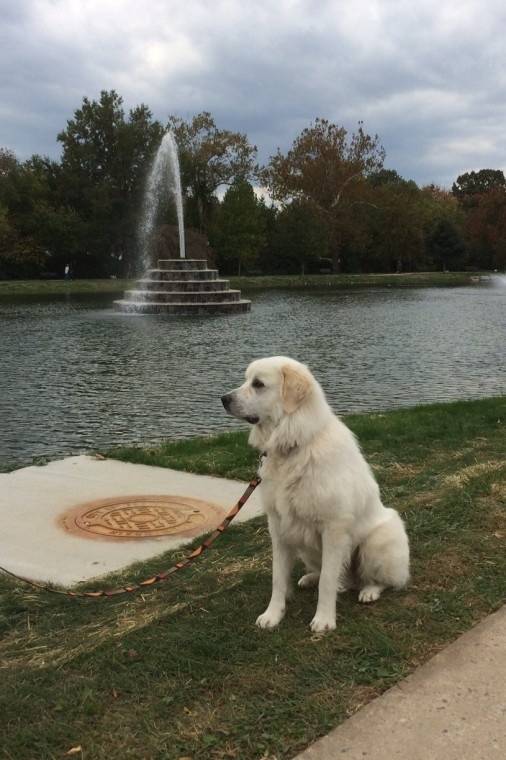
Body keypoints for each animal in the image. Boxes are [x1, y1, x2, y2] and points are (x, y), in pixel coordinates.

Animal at [219, 360, 410, 632]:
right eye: (246, 380)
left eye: (258, 384)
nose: (223, 399)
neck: (293, 444)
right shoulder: (278, 526)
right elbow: (278, 579)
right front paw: (273, 615)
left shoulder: (333, 528)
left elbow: (328, 581)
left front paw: (324, 620)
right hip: (305, 545)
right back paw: (310, 578)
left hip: (377, 541)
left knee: (383, 580)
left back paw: (370, 591)